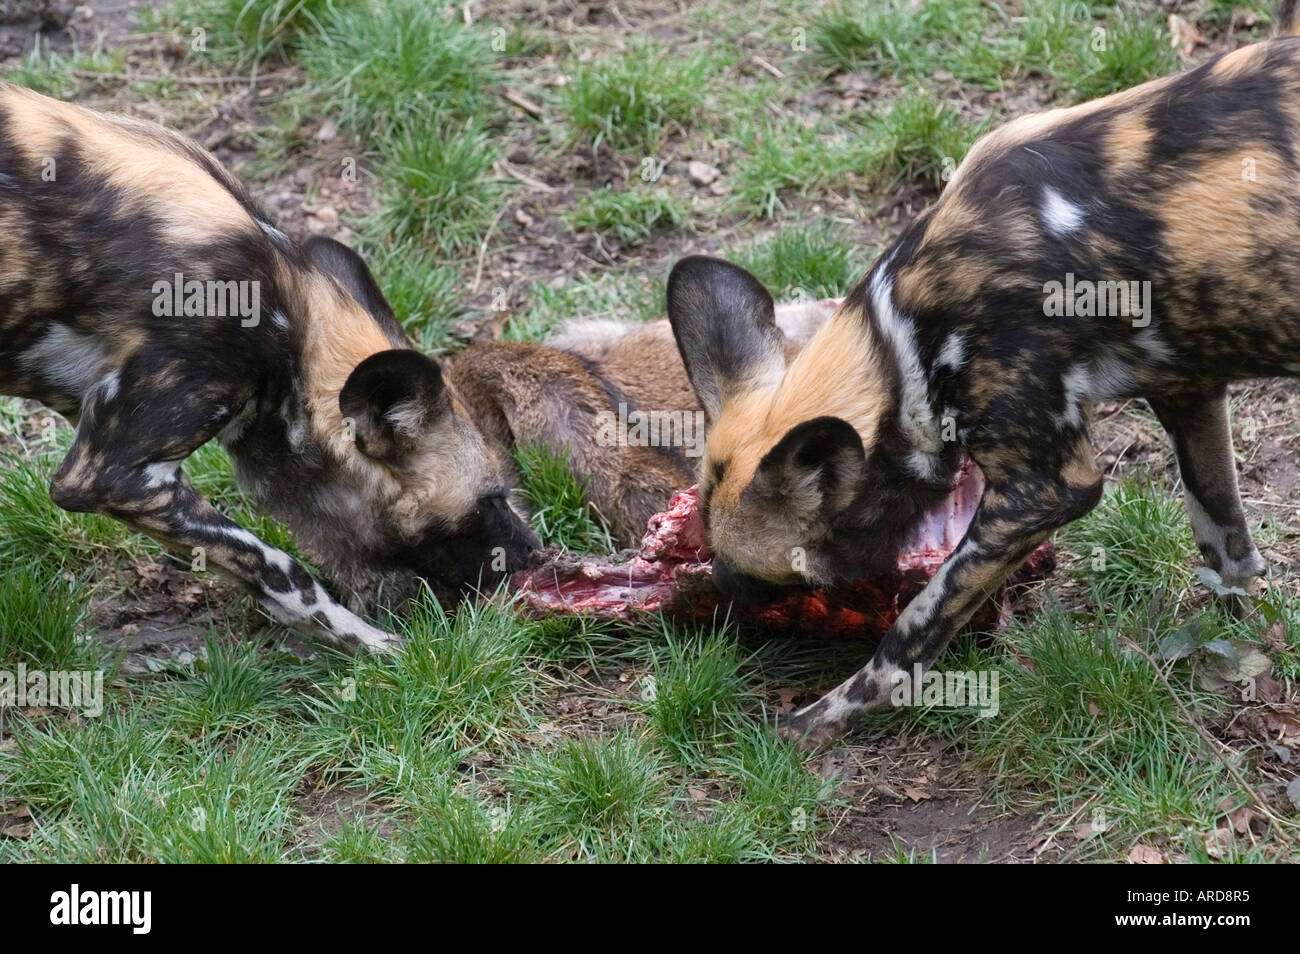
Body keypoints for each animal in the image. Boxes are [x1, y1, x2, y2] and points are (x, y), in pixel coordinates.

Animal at [0, 82, 538, 655]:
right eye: (491, 500)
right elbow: (282, 572)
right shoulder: (110, 474)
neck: (290, 336)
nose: (535, 551)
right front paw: (372, 645)